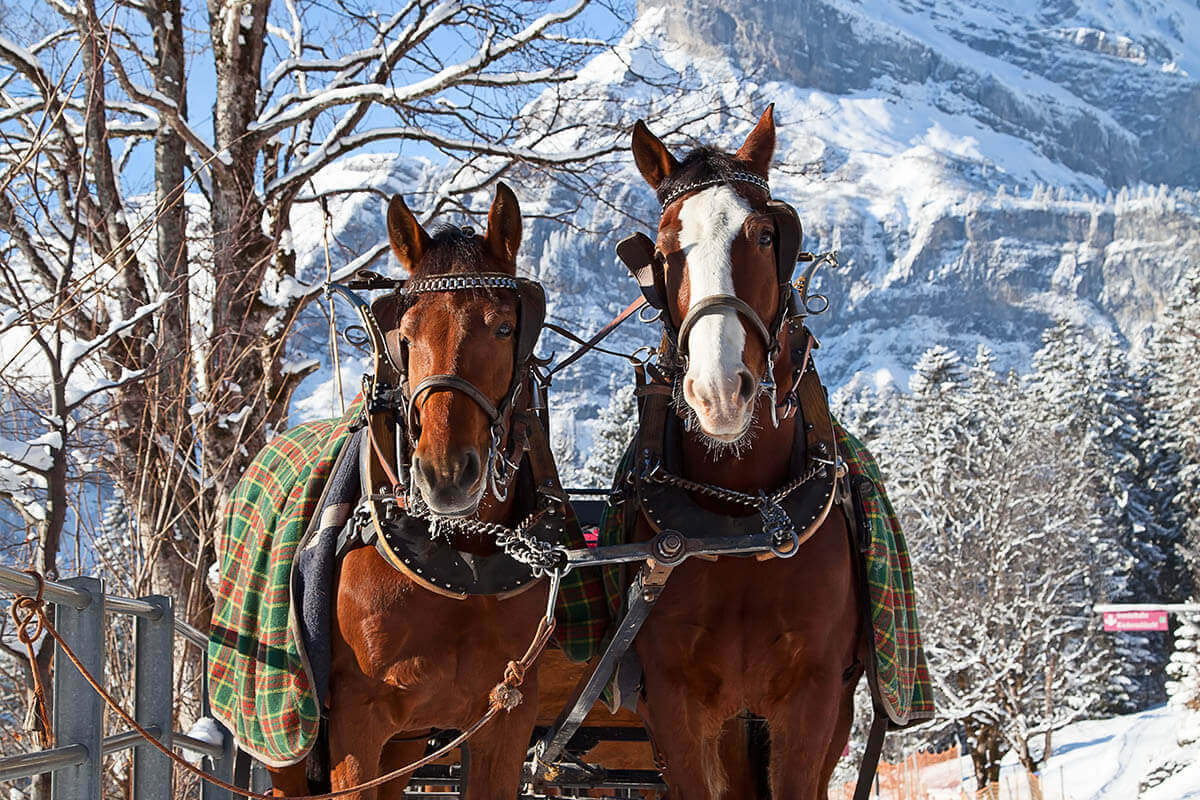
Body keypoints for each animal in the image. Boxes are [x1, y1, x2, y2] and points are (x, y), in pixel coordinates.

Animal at [267, 183, 549, 800]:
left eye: (505, 327)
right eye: (407, 334)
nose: (445, 474)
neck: (462, 554)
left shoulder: (507, 716)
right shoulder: (357, 723)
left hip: (409, 741)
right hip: (289, 740)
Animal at [628, 107, 864, 800]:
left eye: (764, 235)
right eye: (662, 251)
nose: (718, 392)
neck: (741, 519)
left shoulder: (813, 699)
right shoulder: (674, 702)